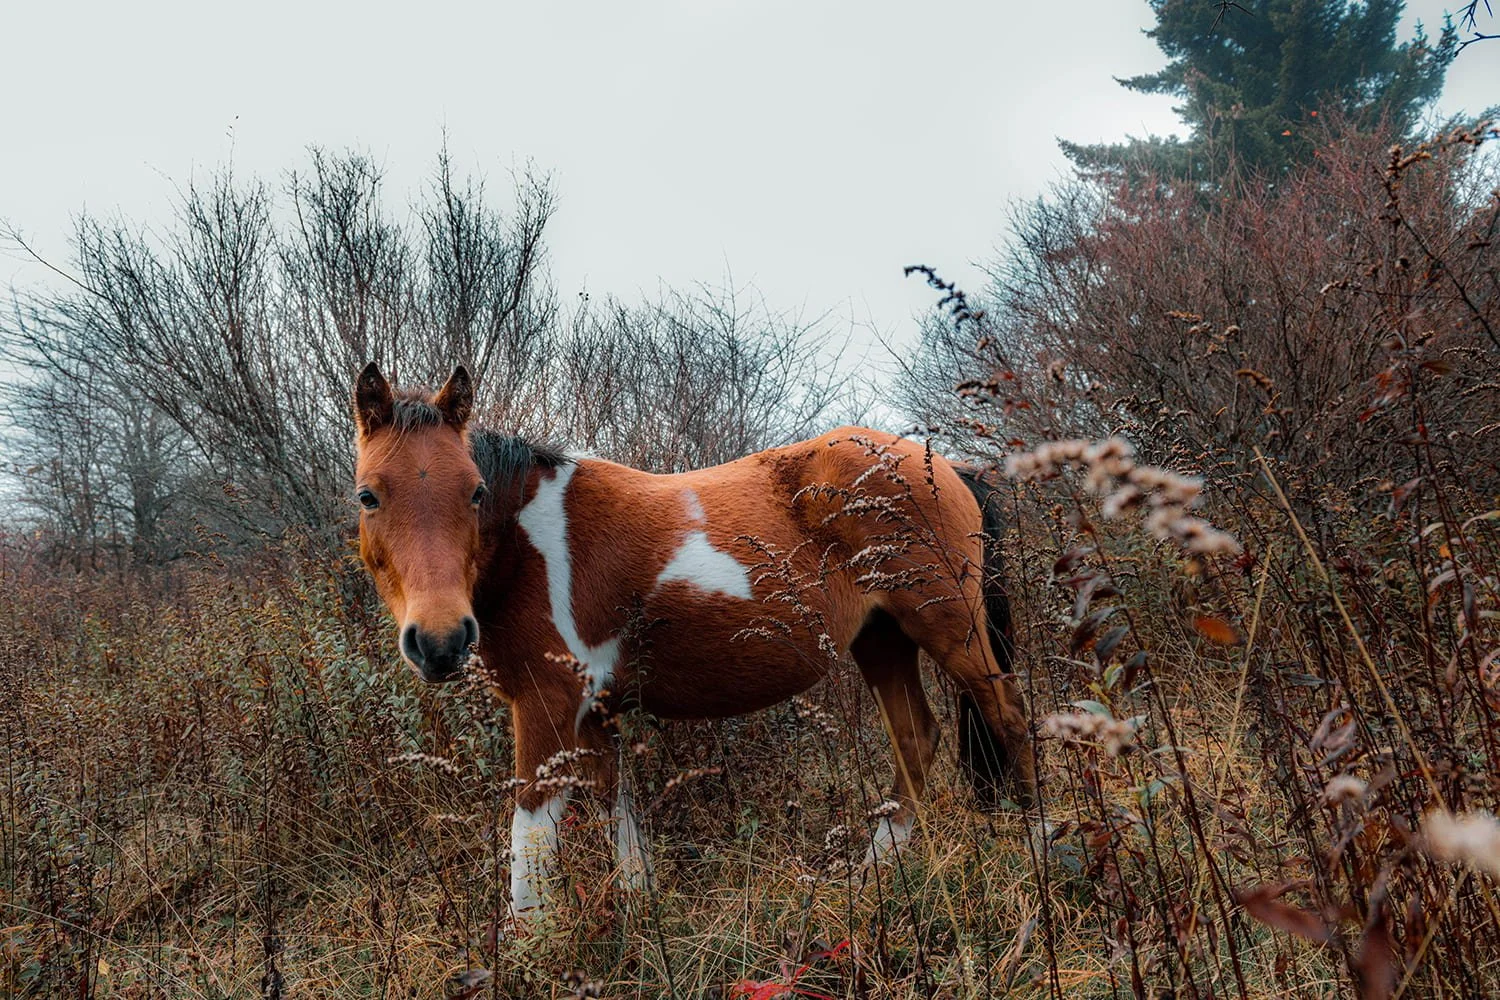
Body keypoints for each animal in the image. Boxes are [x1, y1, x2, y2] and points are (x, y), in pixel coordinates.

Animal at [351, 363, 1034, 913]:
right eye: (368, 496)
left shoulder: (546, 707)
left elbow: (531, 842)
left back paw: (1035, 847)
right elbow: (619, 816)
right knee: (916, 737)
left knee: (1008, 716)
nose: (439, 641)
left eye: (475, 491)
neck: (525, 545)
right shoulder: (595, 711)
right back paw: (870, 877)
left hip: (952, 632)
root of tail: (949, 467)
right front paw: (642, 916)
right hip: (881, 640)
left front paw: (532, 950)